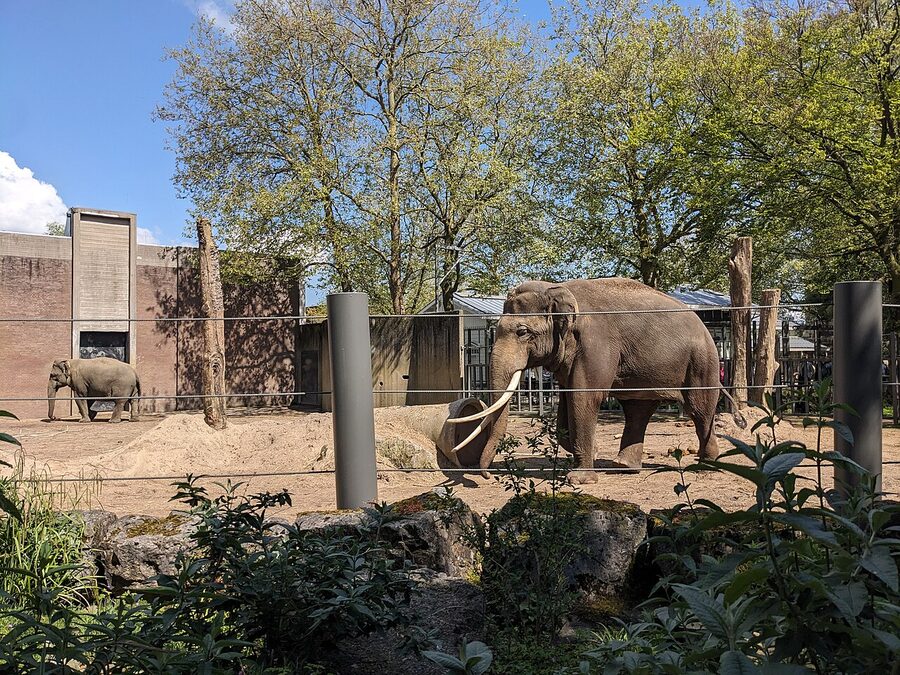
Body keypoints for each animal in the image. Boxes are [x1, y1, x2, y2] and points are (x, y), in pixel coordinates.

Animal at [449, 278, 744, 483]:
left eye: (522, 332)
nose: (487, 475)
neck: (559, 289)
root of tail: (703, 325)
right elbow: (567, 399)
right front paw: (589, 450)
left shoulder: (595, 343)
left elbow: (584, 397)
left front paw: (579, 479)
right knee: (638, 409)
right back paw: (623, 467)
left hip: (702, 361)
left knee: (699, 409)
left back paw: (706, 467)